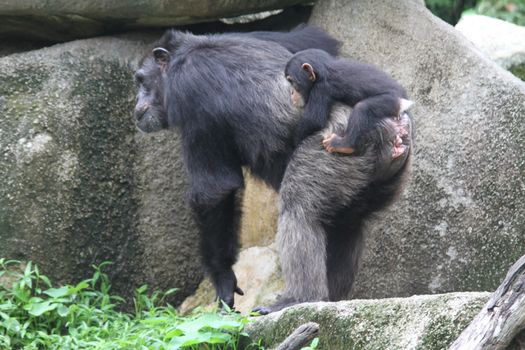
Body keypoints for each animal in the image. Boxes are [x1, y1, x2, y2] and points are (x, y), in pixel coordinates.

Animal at [284, 48, 412, 158]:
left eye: (292, 81)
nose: (291, 92)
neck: (323, 70)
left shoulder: (322, 88)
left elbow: (314, 119)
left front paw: (292, 145)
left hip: (392, 101)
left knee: (362, 108)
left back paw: (344, 145)